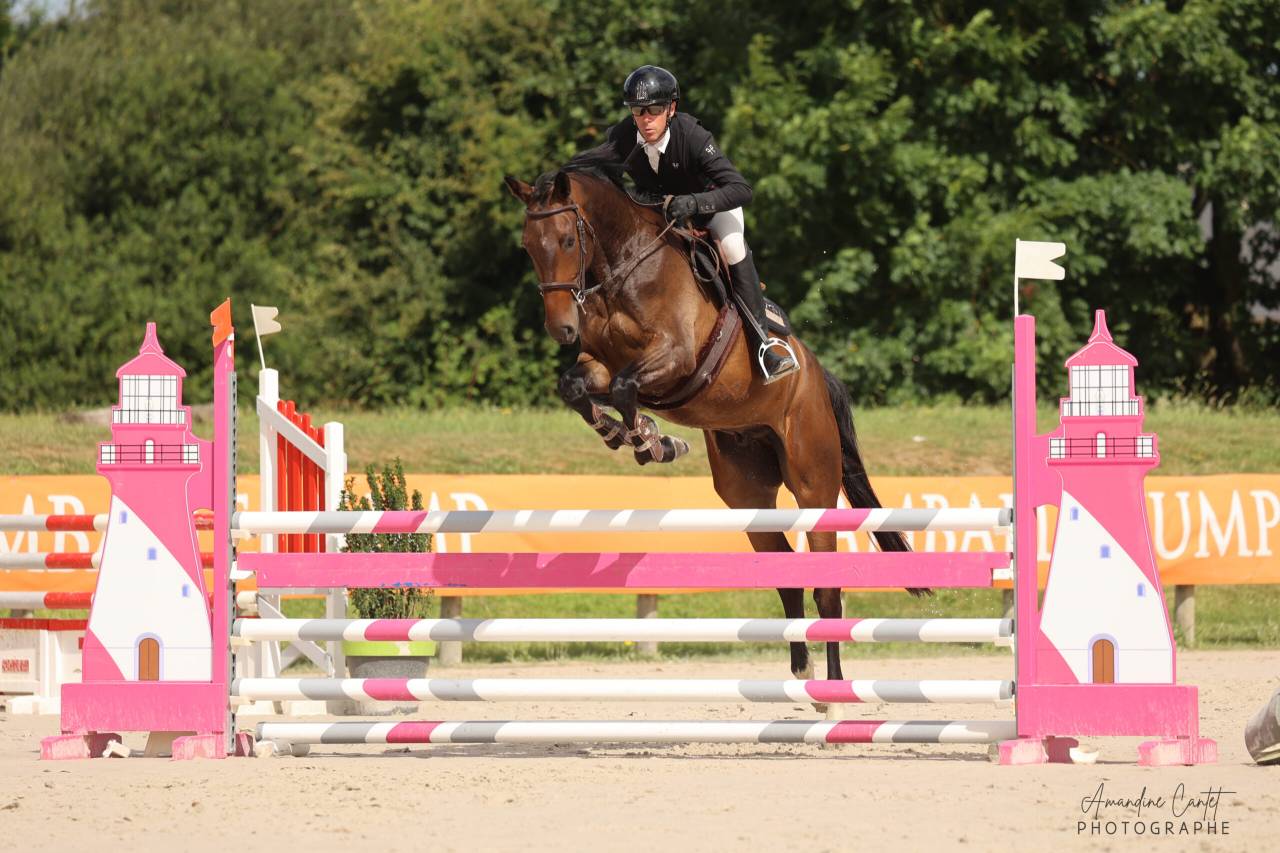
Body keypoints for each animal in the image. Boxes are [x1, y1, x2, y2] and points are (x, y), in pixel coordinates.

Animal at [503, 162, 913, 687]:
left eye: (568, 240)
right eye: (527, 246)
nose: (562, 330)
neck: (623, 268)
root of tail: (818, 377)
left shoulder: (674, 357)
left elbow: (625, 388)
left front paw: (651, 441)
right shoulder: (597, 363)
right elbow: (578, 389)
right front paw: (635, 436)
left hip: (813, 481)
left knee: (827, 588)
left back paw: (832, 686)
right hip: (746, 493)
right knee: (785, 571)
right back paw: (798, 669)